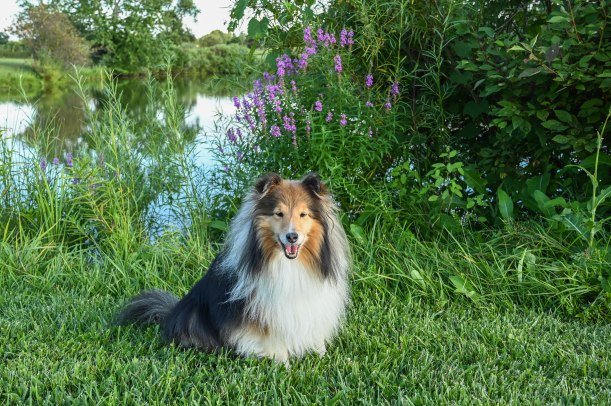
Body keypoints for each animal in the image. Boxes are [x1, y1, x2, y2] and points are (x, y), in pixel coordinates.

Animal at [116, 173, 351, 363]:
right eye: (278, 214)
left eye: (303, 214)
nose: (292, 236)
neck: (288, 263)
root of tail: (171, 313)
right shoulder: (265, 308)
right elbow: (273, 336)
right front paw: (282, 363)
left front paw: (320, 352)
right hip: (195, 314)